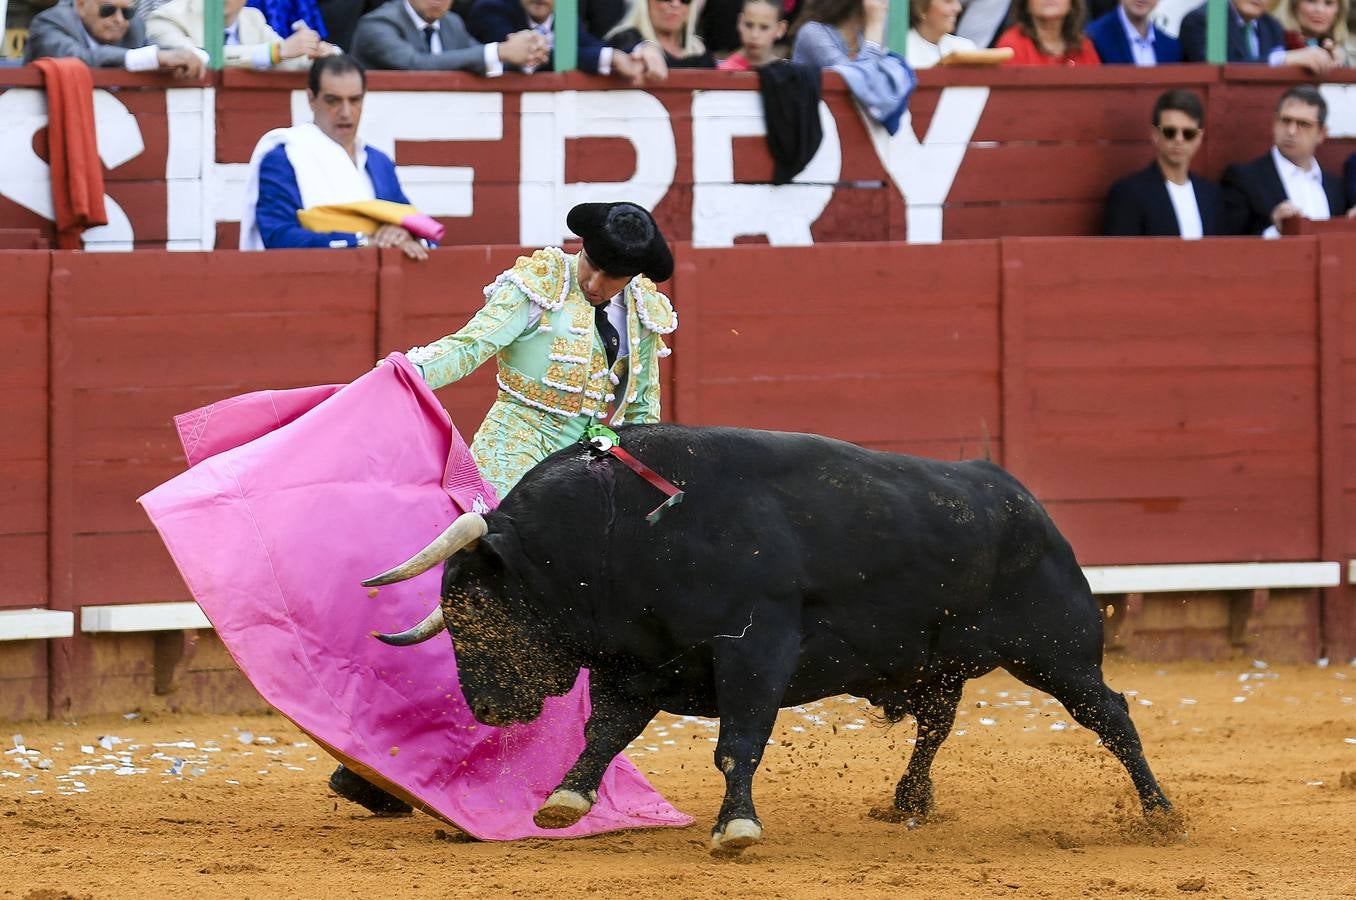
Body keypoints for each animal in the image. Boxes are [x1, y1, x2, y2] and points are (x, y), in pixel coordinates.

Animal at [366, 422, 1171, 851]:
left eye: (476, 606)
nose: (487, 707)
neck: (622, 528)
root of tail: (1020, 498)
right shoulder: (644, 662)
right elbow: (607, 731)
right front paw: (564, 800)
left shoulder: (755, 648)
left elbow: (739, 741)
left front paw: (737, 828)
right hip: (934, 664)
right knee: (938, 723)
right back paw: (908, 802)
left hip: (1057, 650)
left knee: (1111, 714)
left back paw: (1161, 814)